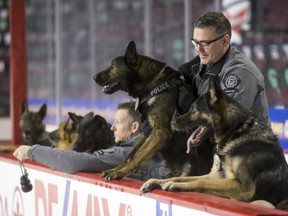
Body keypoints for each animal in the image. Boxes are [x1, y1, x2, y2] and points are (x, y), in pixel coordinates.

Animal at [93, 41, 213, 182]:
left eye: (113, 66)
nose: (93, 77)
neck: (154, 85)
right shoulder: (147, 133)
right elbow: (131, 155)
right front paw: (116, 169)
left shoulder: (160, 133)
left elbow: (138, 157)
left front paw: (119, 173)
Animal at [140, 75, 288, 210]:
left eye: (194, 110)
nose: (172, 122)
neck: (234, 133)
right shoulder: (217, 176)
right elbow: (185, 178)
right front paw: (158, 182)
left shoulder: (243, 187)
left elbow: (200, 181)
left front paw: (174, 185)